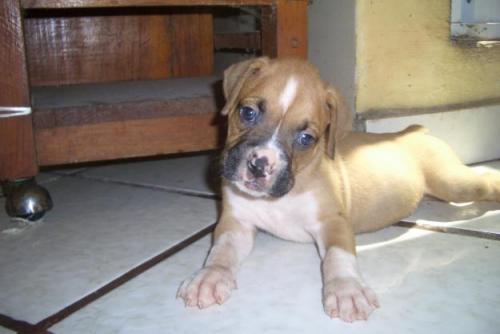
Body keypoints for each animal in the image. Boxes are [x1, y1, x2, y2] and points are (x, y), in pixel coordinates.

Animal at [177, 56, 500, 320]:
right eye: (247, 113)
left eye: (306, 139)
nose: (259, 165)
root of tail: (413, 130)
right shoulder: (236, 223)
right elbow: (221, 251)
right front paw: (209, 277)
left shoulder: (333, 223)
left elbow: (338, 257)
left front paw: (347, 290)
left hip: (454, 184)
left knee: (480, 179)